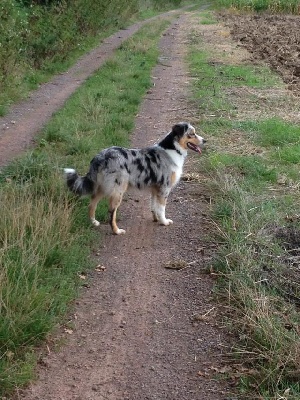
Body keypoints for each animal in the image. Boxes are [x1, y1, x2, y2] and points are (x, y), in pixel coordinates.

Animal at [64, 122, 206, 234]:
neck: (173, 149)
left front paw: (156, 219)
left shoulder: (155, 188)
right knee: (111, 212)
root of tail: (100, 157)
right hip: (118, 190)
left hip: (102, 187)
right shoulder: (164, 188)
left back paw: (94, 222)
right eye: (192, 134)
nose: (205, 140)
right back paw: (116, 231)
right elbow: (161, 208)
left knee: (92, 204)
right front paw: (164, 222)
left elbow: (154, 206)